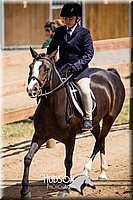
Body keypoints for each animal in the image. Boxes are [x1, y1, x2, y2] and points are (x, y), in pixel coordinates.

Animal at [20, 48, 125, 198]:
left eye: (46, 69)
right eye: (30, 67)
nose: (31, 89)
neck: (52, 105)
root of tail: (111, 73)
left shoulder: (70, 139)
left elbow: (68, 162)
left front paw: (65, 189)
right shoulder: (40, 136)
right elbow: (27, 158)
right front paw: (25, 191)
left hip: (110, 119)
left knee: (99, 142)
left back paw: (85, 172)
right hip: (94, 123)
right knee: (101, 141)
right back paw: (102, 173)